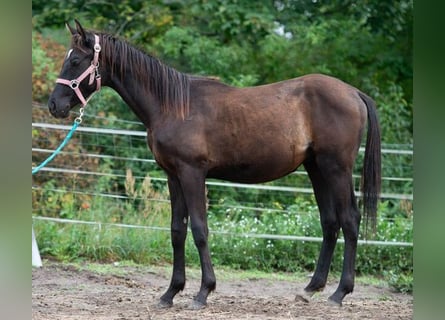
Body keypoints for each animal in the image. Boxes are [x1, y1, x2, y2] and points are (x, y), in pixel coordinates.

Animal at [47, 20, 382, 310]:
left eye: (76, 61)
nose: (54, 105)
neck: (172, 105)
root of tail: (354, 93)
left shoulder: (192, 173)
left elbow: (199, 229)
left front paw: (203, 292)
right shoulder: (173, 176)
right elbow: (177, 231)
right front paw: (170, 293)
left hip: (336, 169)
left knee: (349, 220)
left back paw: (339, 293)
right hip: (316, 169)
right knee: (330, 223)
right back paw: (310, 289)